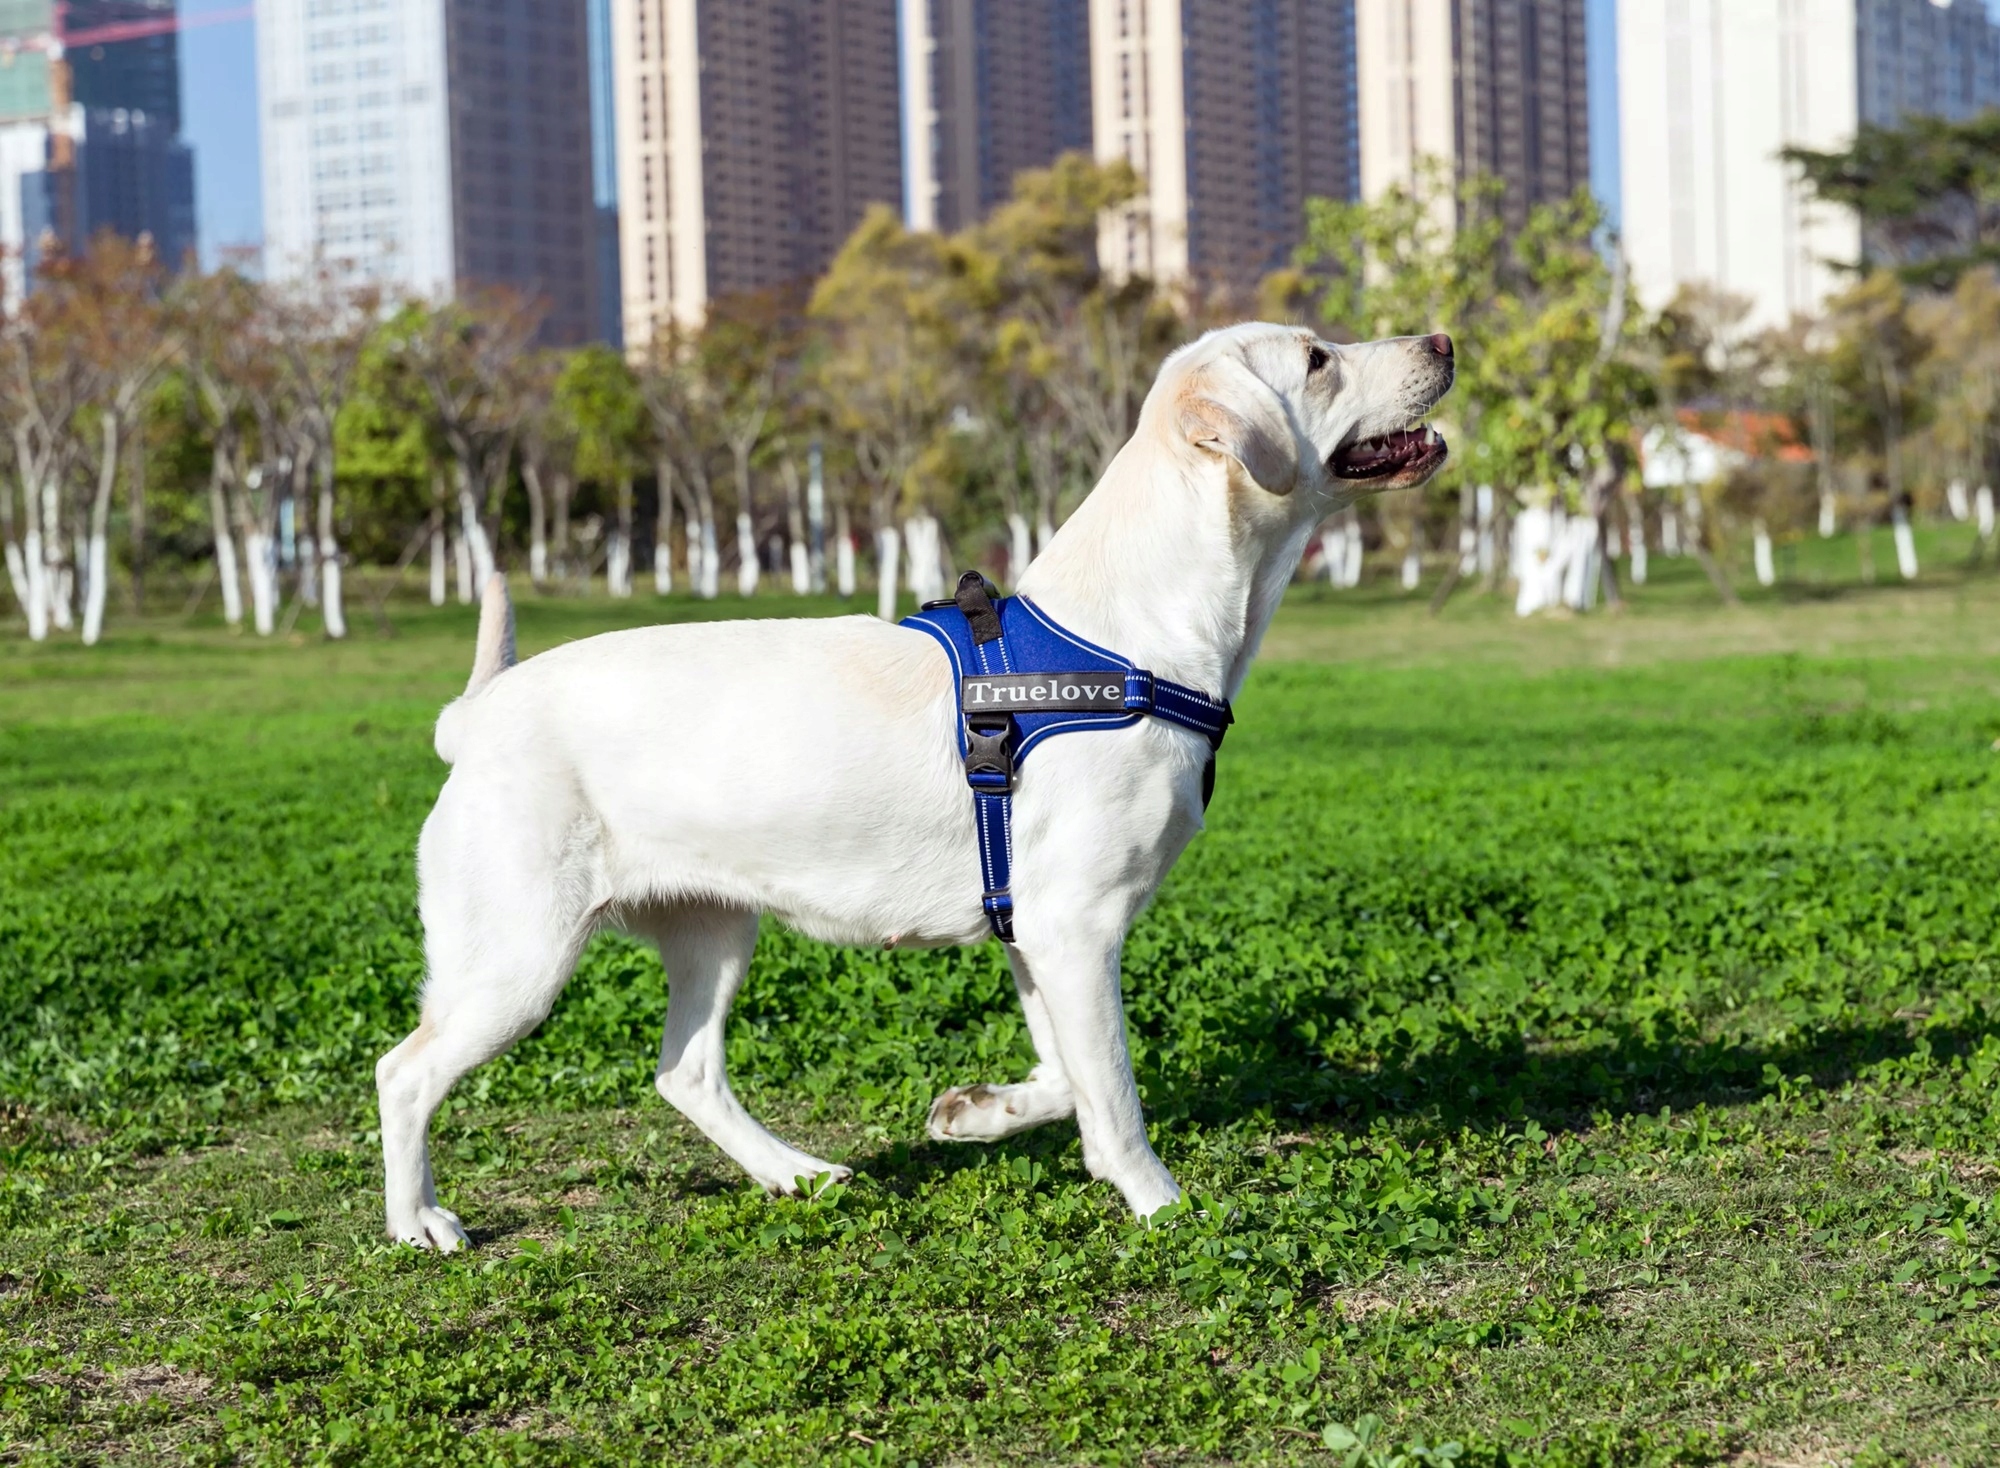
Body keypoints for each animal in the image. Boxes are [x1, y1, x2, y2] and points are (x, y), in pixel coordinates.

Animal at [377, 321, 1454, 1249]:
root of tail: (474, 716)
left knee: (686, 1073)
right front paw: (1161, 1204)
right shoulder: (1078, 925)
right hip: (518, 960)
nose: (1443, 341)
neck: (1133, 635)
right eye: (1317, 358)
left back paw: (796, 1172)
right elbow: (1114, 1092)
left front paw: (978, 1112)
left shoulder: (1035, 929)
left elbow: (1067, 1074)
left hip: (713, 933)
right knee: (403, 1071)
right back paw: (417, 1221)